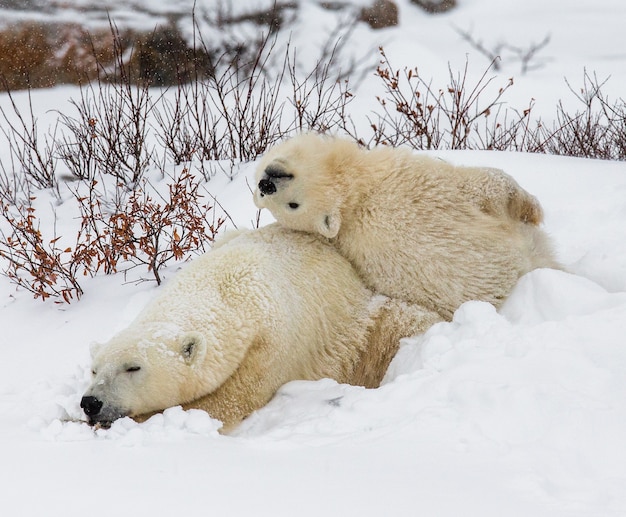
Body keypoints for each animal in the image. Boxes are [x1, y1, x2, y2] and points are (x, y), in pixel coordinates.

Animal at [79, 224, 438, 430]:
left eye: (133, 367)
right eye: (94, 369)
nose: (91, 402)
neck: (228, 288)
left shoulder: (269, 345)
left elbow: (229, 402)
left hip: (362, 327)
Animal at [254, 133, 560, 318]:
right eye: (292, 206)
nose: (266, 184)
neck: (357, 199)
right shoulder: (415, 176)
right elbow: (487, 183)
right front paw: (533, 209)